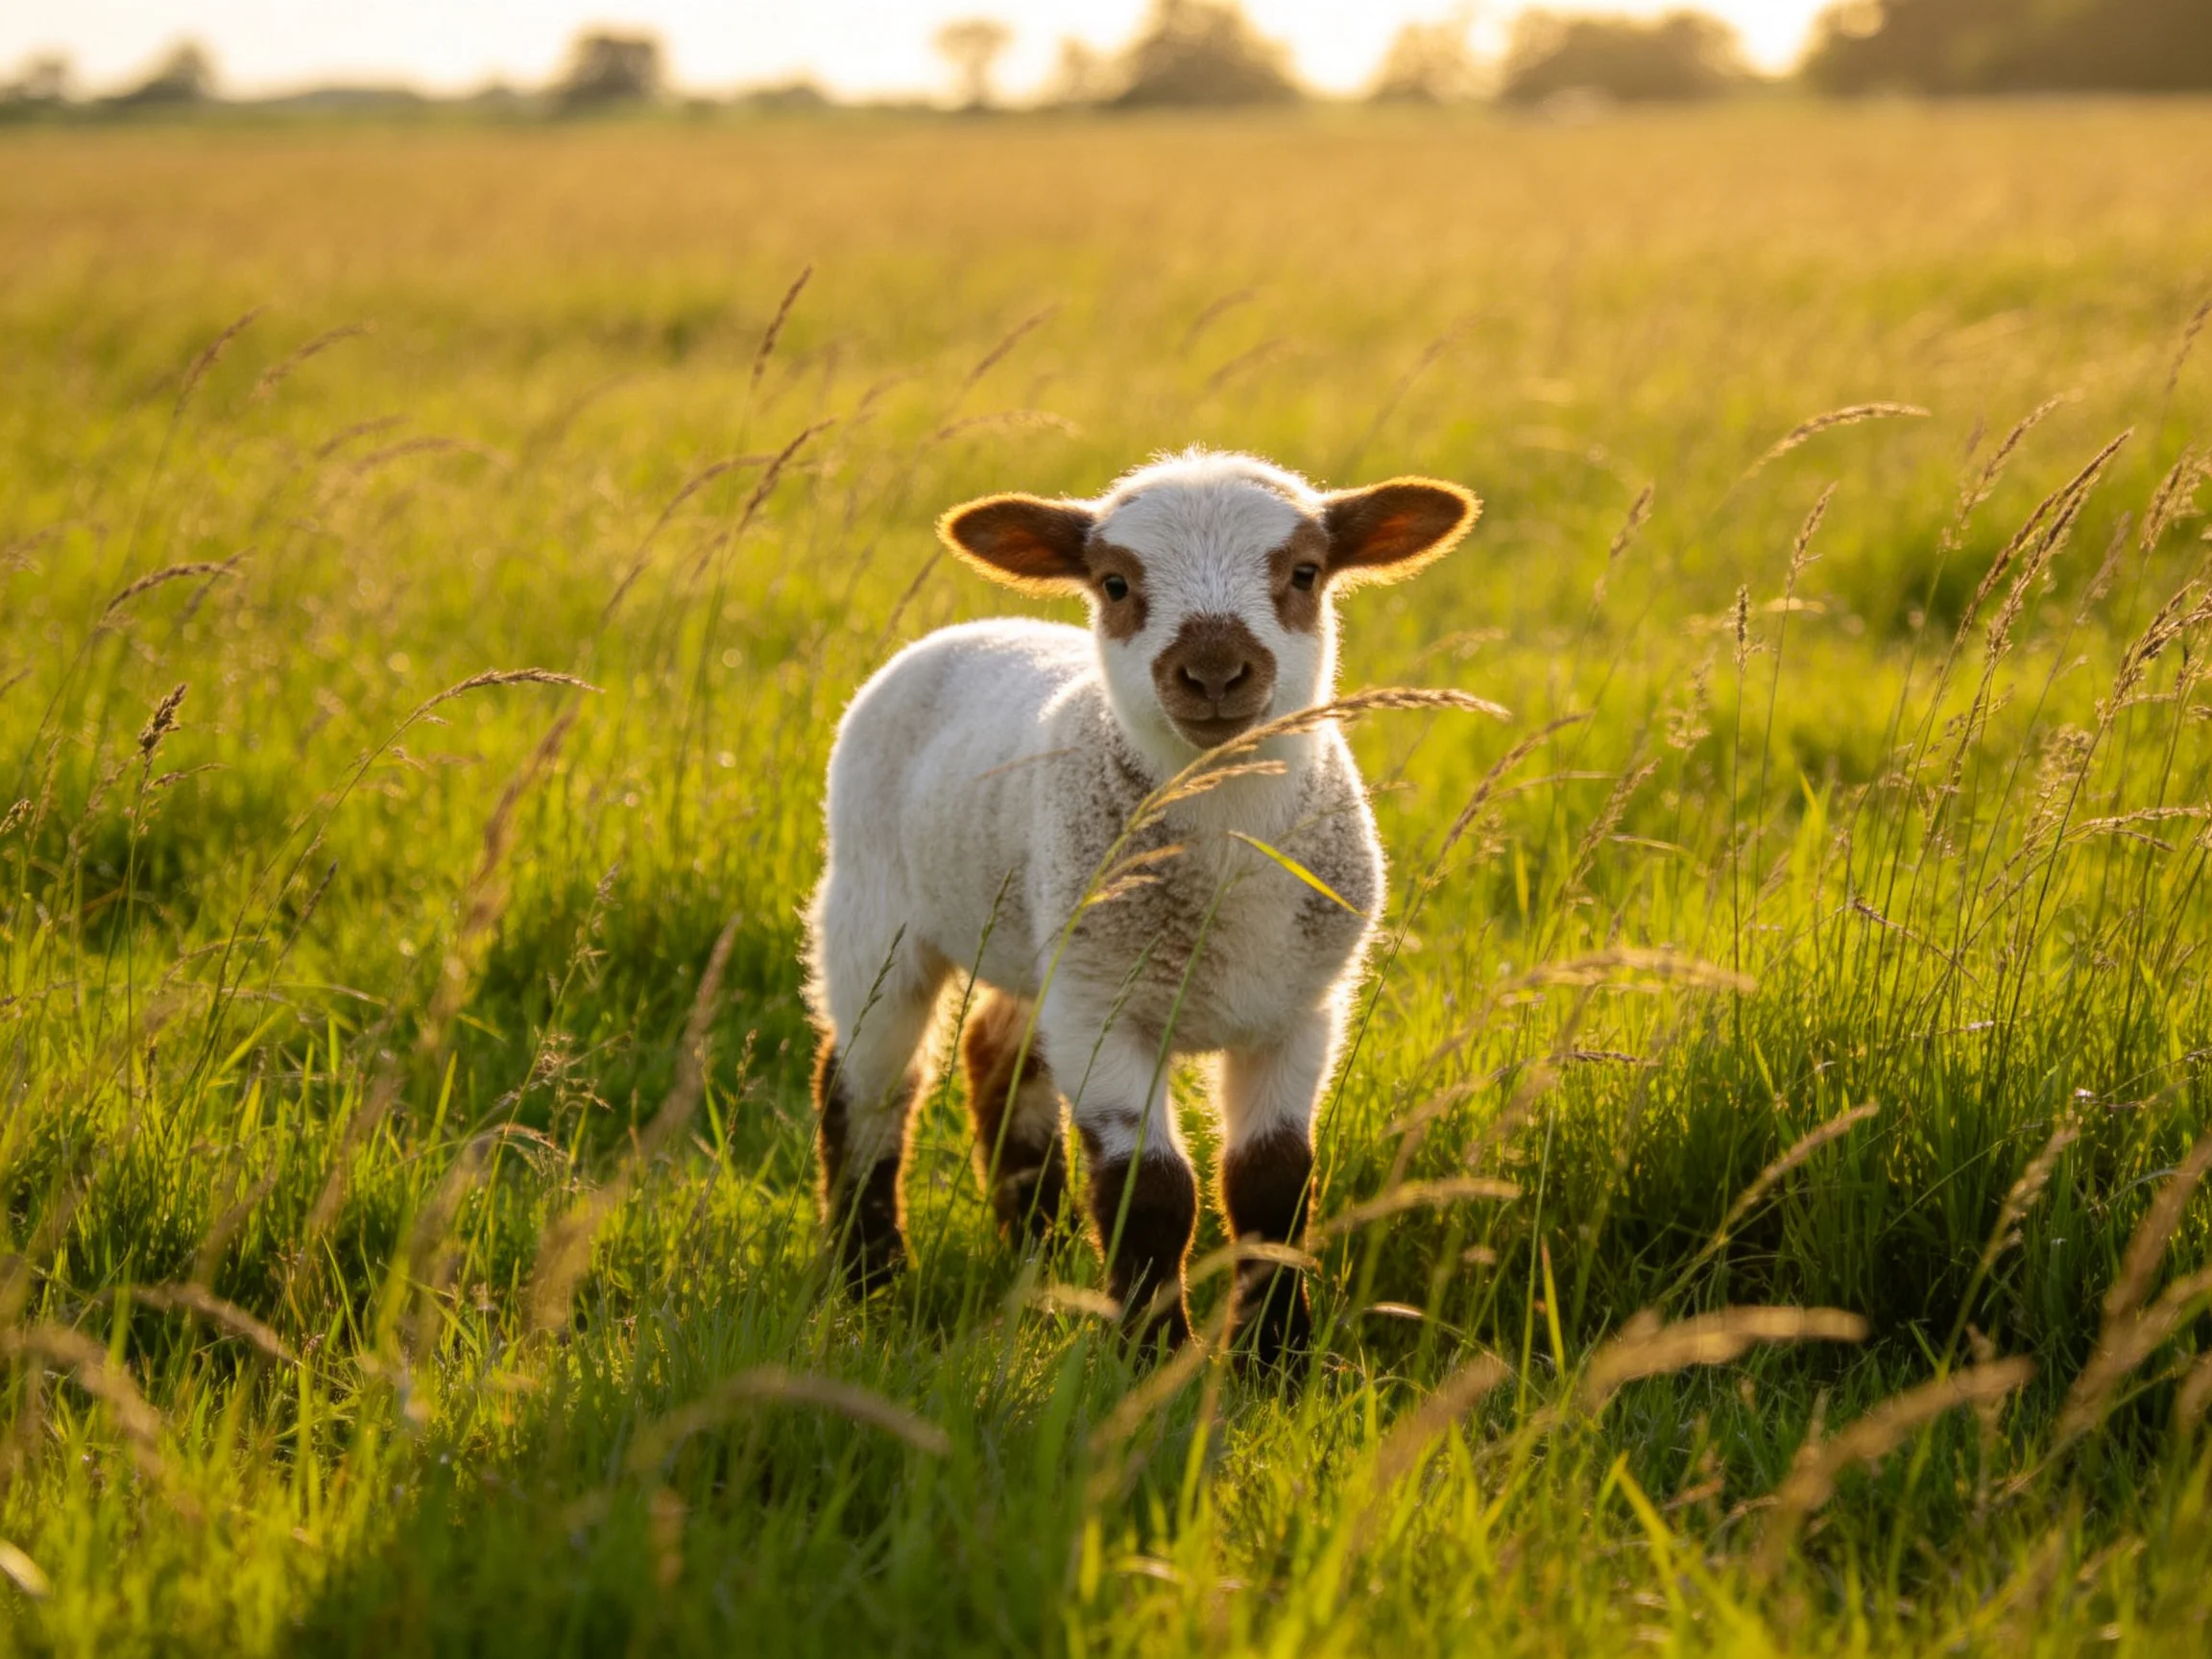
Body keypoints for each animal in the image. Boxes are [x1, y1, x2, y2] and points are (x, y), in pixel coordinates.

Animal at [803, 448, 1479, 1362]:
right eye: (1116, 583)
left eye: (1305, 573)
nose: (1215, 672)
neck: (1227, 847)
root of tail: (974, 627)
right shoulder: (1106, 1013)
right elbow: (1151, 1191)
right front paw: (1153, 1358)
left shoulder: (1298, 1009)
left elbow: (1272, 1186)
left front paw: (1277, 1358)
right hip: (876, 909)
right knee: (867, 1088)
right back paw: (870, 1276)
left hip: (1042, 937)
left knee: (998, 1055)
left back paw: (1037, 1246)